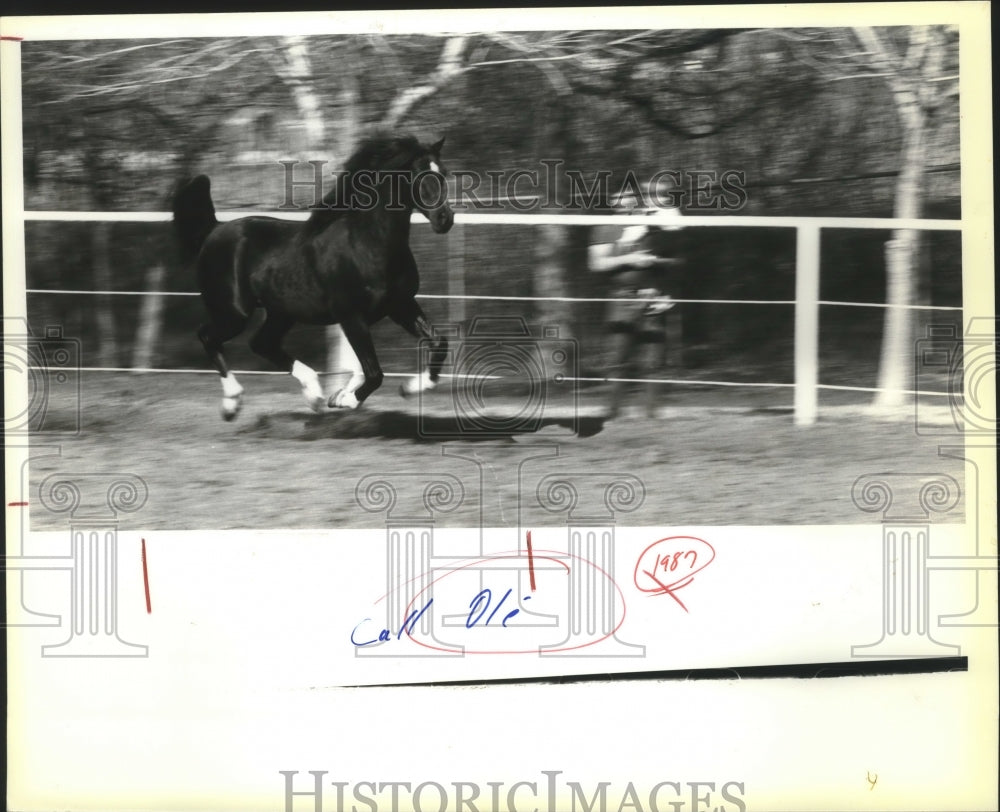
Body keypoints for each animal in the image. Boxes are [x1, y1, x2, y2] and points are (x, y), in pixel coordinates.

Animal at [173, 133, 454, 418]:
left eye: (443, 174)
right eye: (418, 175)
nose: (445, 219)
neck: (368, 244)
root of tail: (213, 230)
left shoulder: (400, 305)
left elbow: (439, 343)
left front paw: (409, 388)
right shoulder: (351, 315)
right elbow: (374, 373)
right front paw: (345, 400)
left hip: (281, 312)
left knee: (261, 343)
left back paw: (314, 394)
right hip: (234, 312)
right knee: (208, 336)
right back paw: (233, 402)